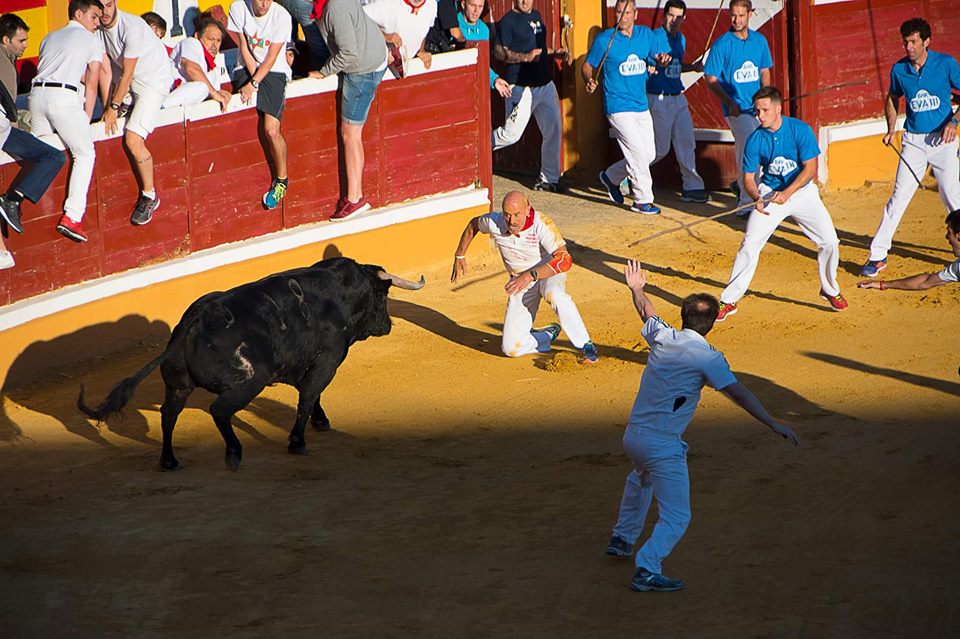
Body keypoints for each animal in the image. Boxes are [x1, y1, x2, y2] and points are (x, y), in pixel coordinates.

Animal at [80, 258, 426, 472]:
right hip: (249, 381)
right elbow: (308, 396)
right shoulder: (327, 362)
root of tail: (195, 320)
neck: (341, 293)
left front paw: (320, 421)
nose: (387, 325)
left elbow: (311, 396)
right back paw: (233, 454)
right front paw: (298, 441)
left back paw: (170, 461)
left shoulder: (303, 365)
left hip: (178, 384)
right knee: (219, 410)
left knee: (168, 414)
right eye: (384, 296)